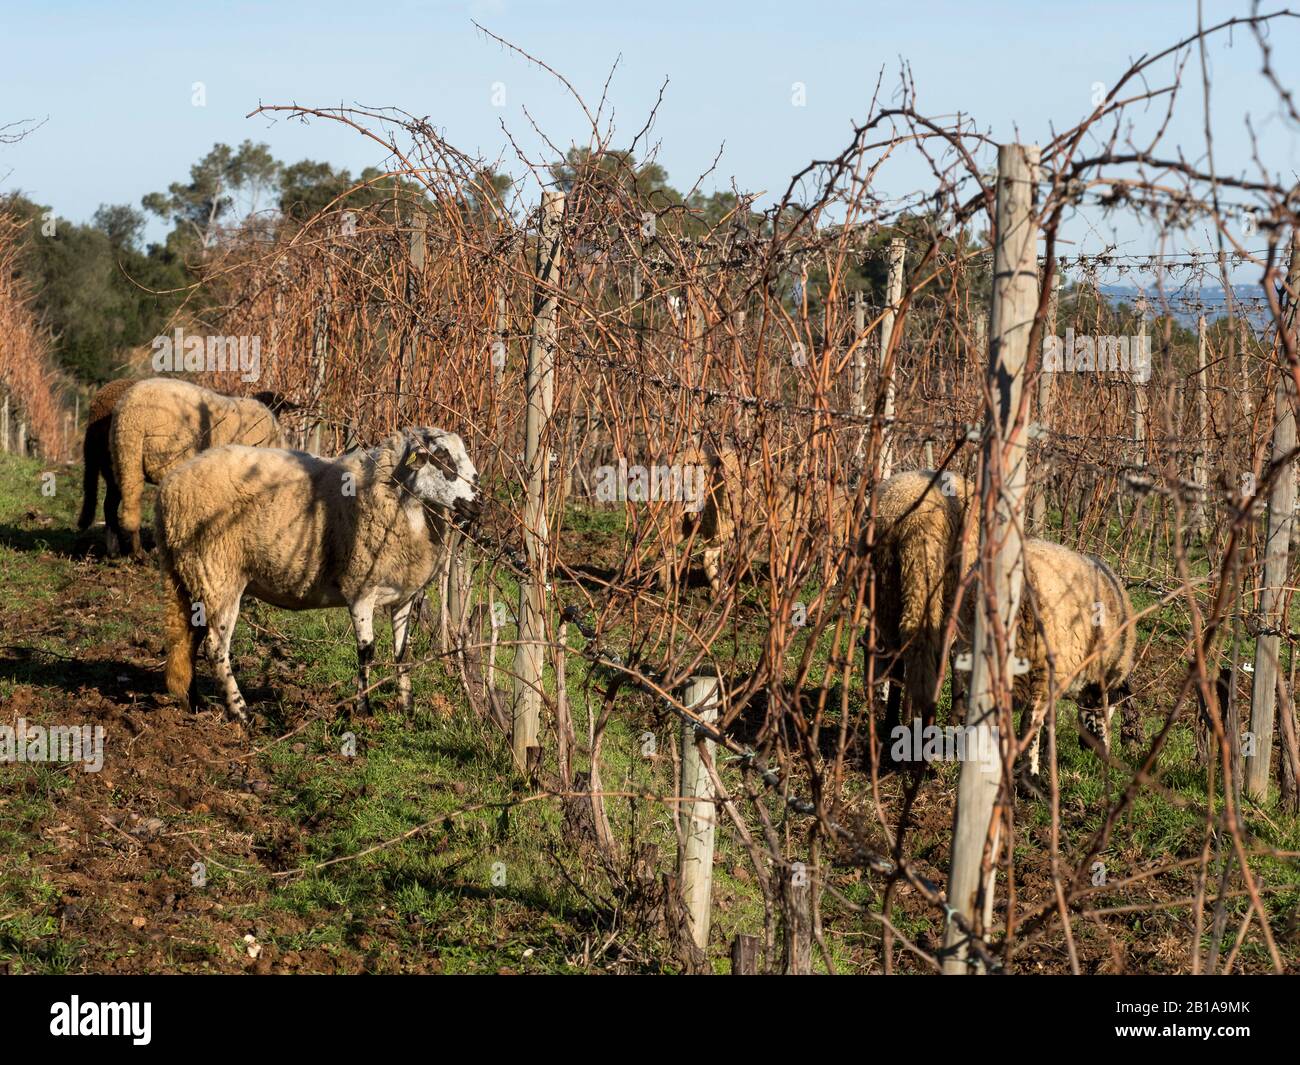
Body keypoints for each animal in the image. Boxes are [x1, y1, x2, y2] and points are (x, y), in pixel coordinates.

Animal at [156, 426, 483, 723]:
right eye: (441, 457)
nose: (479, 503)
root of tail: (169, 487)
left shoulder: (404, 594)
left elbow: (402, 652)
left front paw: (407, 710)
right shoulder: (359, 588)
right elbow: (367, 651)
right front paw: (363, 711)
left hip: (192, 576)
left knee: (190, 637)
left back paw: (194, 702)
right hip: (218, 573)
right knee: (215, 647)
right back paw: (241, 713)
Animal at [863, 465, 977, 749]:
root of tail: (915, 524)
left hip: (888, 588)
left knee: (901, 655)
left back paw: (894, 725)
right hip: (937, 592)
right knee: (934, 655)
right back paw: (925, 728)